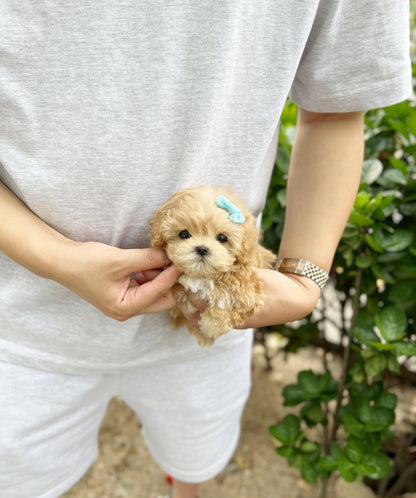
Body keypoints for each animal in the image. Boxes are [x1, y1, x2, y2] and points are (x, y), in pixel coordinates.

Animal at [150, 185, 276, 348]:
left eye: (222, 237)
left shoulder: (250, 290)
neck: (202, 275)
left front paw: (212, 326)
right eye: (184, 234)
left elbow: (232, 303)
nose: (202, 249)